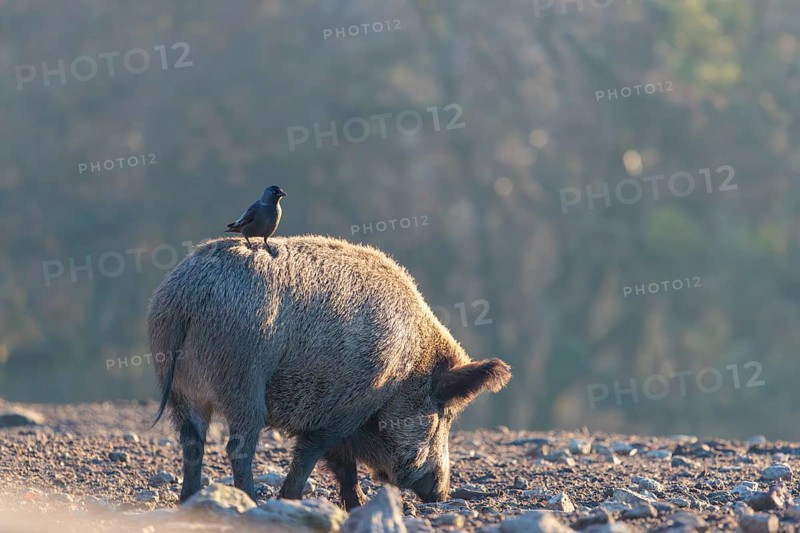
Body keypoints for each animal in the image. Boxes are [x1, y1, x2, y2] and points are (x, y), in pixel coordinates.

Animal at [148, 235, 511, 510]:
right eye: (444, 415)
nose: (440, 494)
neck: (406, 368)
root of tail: (186, 298)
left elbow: (343, 466)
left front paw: (357, 505)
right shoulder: (342, 409)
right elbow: (314, 455)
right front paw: (291, 500)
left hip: (180, 388)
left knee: (192, 441)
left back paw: (188, 501)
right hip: (243, 379)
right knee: (238, 445)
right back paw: (249, 501)